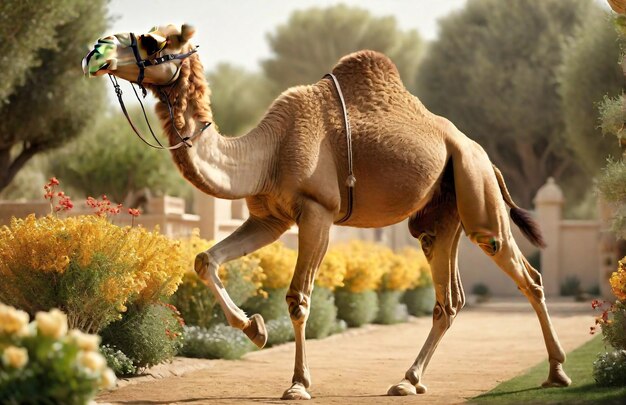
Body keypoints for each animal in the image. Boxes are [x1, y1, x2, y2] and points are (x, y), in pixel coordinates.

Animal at [83, 24, 572, 398]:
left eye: (151, 41)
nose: (96, 51)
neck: (266, 150)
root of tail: (482, 153)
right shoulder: (269, 218)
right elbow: (206, 259)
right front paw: (255, 329)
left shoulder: (318, 211)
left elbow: (298, 298)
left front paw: (298, 384)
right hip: (439, 215)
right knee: (449, 298)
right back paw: (409, 381)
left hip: (476, 187)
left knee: (525, 273)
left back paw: (557, 373)